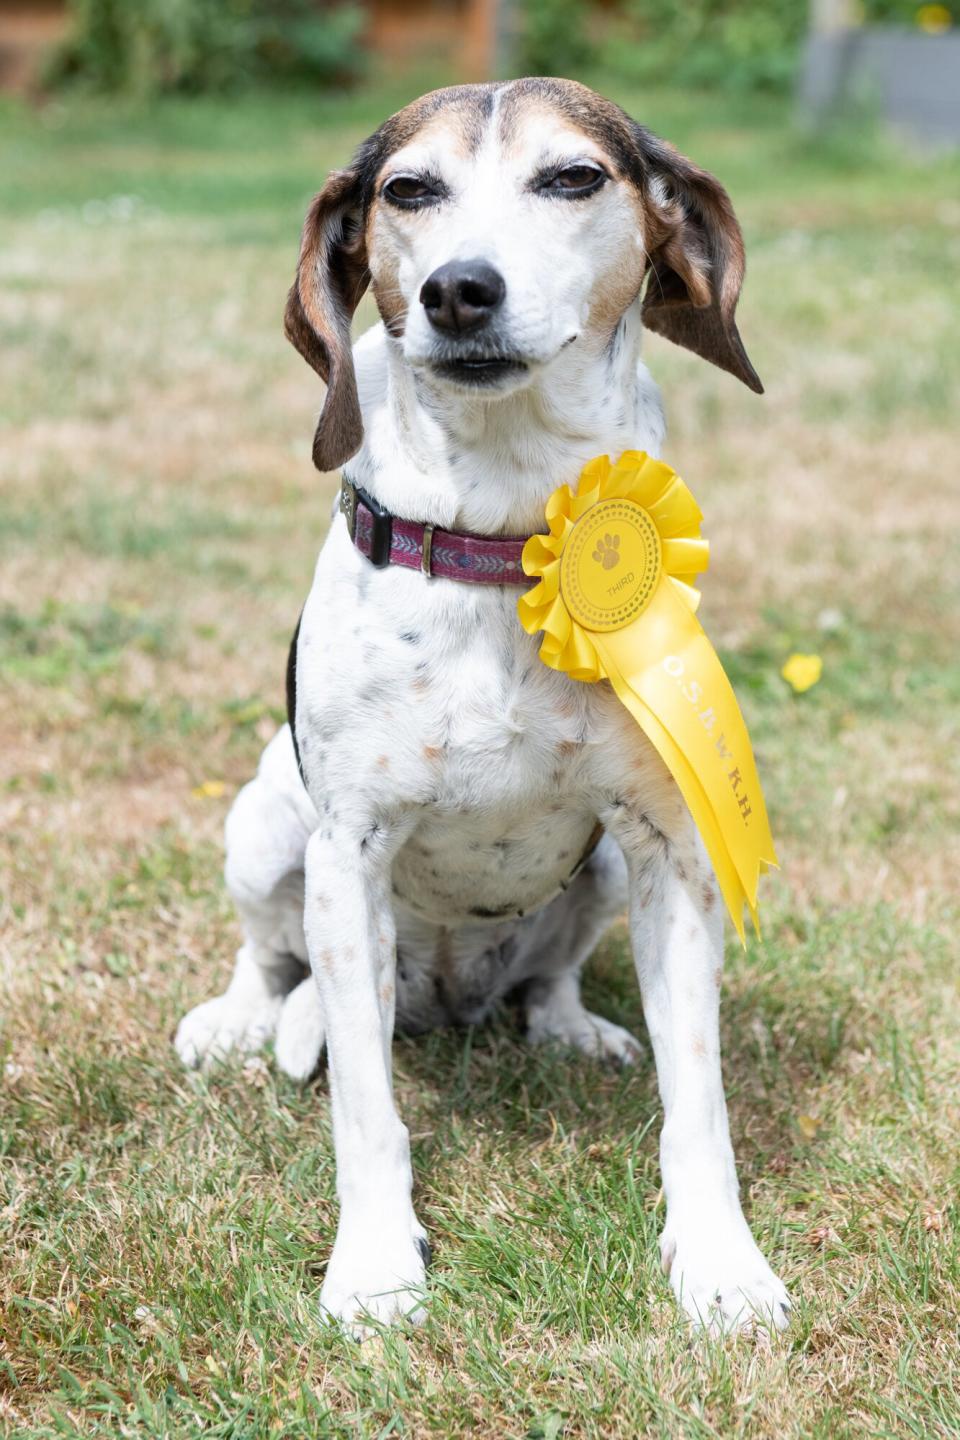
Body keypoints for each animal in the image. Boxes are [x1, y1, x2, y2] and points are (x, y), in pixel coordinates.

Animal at [176, 78, 794, 1336]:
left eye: (573, 178)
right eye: (409, 190)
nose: (460, 289)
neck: (508, 538)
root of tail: (448, 1004)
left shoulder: (670, 852)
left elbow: (699, 1107)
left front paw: (720, 1265)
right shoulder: (348, 856)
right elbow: (367, 1116)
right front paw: (375, 1268)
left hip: (598, 869)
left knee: (545, 975)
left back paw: (568, 1027)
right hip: (265, 827)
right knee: (271, 962)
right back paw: (237, 1018)